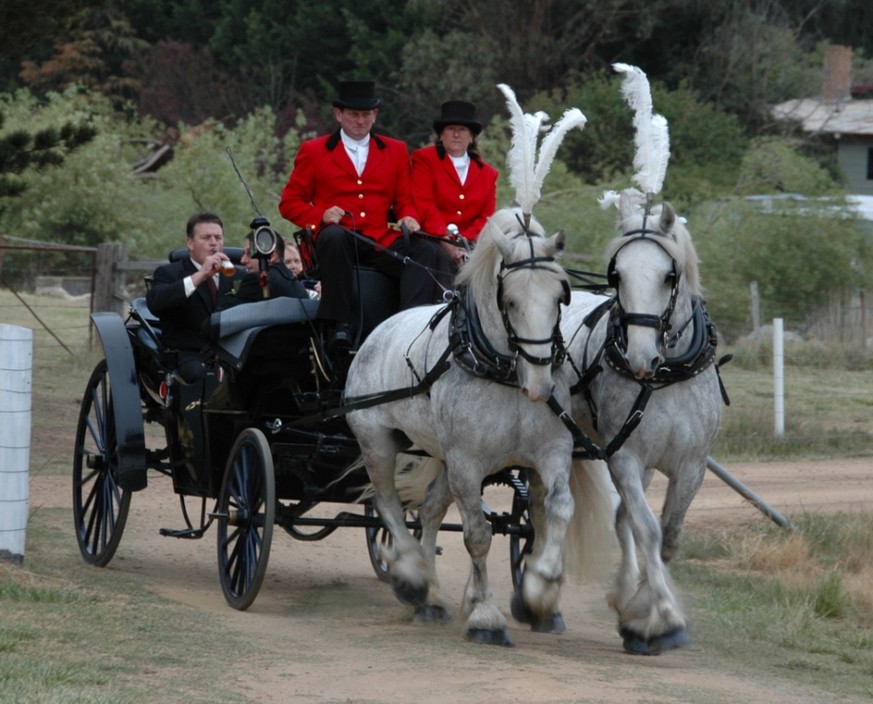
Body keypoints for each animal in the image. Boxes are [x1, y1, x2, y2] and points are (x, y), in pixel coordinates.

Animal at [344, 208, 584, 644]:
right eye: (510, 300)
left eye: (561, 296)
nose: (539, 386)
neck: (504, 373)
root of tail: (378, 330)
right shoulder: (468, 462)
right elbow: (478, 534)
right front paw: (485, 616)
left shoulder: (551, 453)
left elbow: (558, 510)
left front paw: (540, 590)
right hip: (377, 441)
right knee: (388, 504)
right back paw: (413, 577)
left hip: (442, 456)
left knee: (430, 508)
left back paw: (432, 596)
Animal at [564, 191, 724, 656]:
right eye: (616, 274)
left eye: (670, 276)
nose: (639, 357)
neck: (664, 377)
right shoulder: (625, 459)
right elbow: (648, 531)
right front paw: (663, 616)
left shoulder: (691, 466)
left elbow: (667, 535)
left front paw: (638, 610)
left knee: (621, 519)